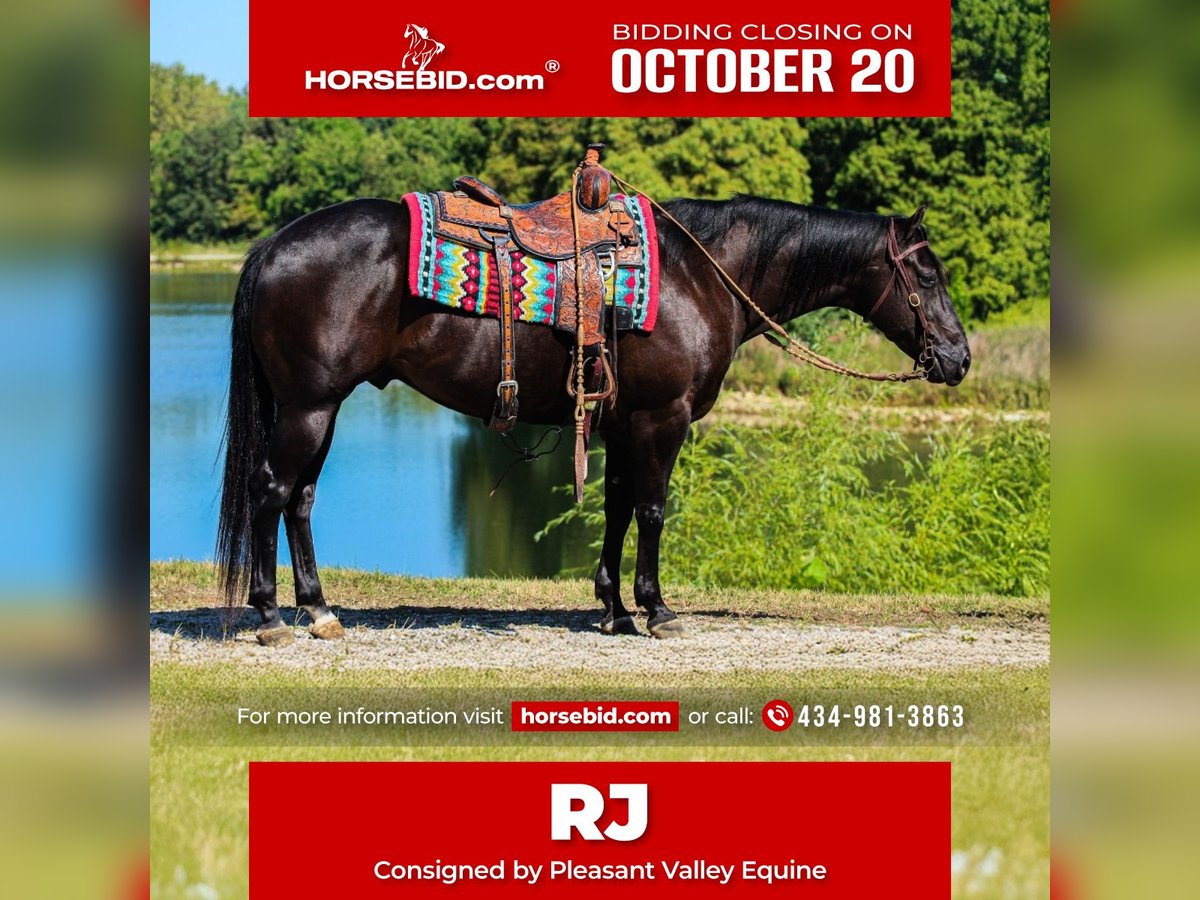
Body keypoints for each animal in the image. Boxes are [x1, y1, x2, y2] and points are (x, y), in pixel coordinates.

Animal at [216, 194, 971, 646]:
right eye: (928, 275)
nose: (959, 358)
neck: (701, 275)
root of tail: (273, 246)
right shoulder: (664, 420)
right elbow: (653, 509)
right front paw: (656, 610)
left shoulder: (619, 423)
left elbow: (615, 509)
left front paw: (612, 608)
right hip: (310, 408)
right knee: (270, 491)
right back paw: (270, 615)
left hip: (321, 408)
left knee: (300, 500)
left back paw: (319, 609)